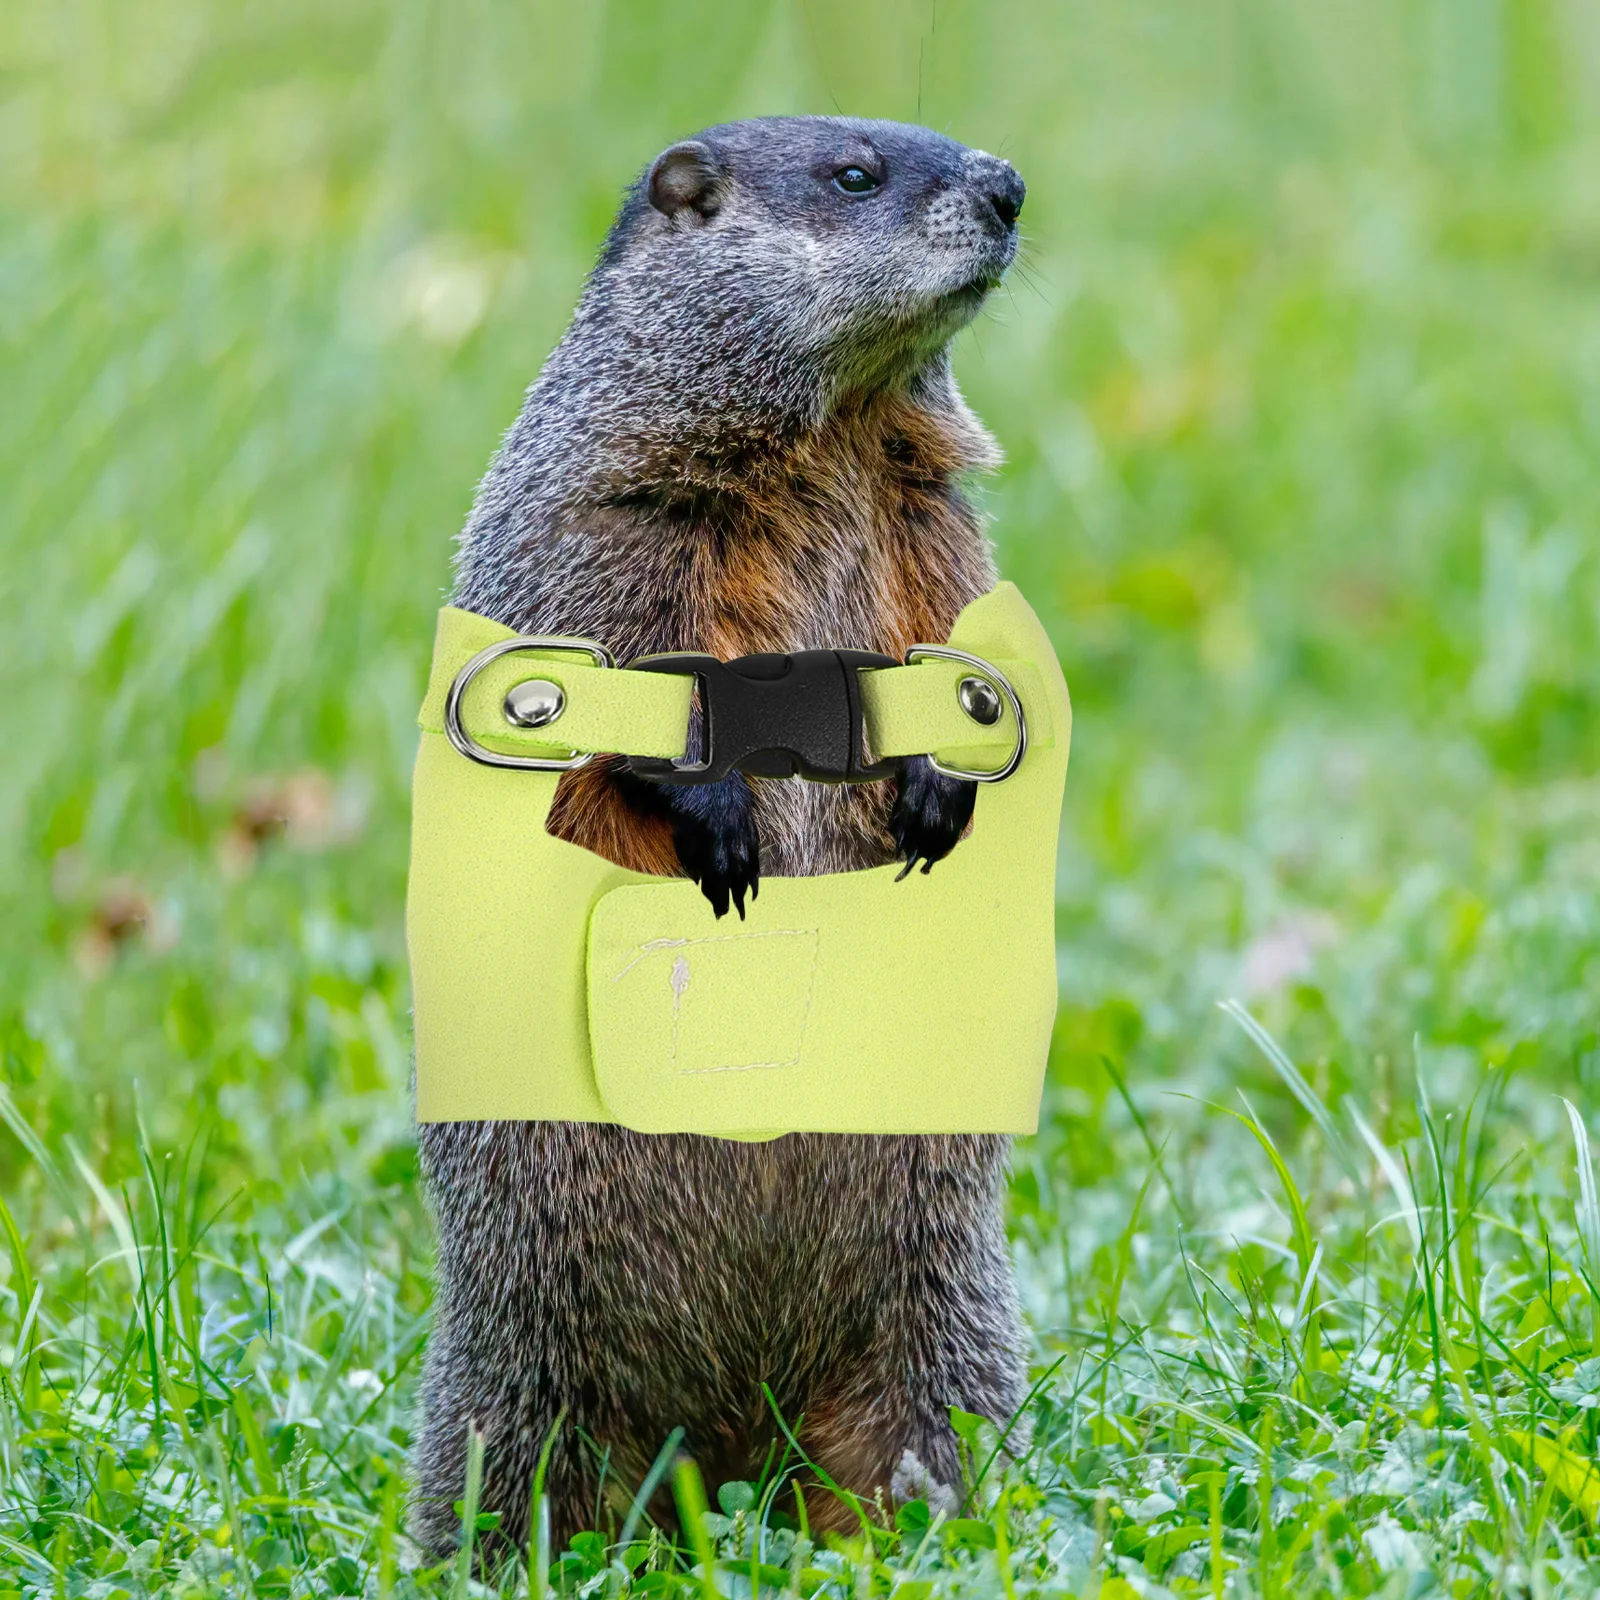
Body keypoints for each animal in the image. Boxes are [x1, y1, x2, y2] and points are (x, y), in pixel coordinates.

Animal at [413, 117, 1031, 1561]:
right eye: (855, 175)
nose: (1013, 188)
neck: (840, 429)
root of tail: (727, 1442)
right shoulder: (619, 495)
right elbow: (617, 636)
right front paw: (720, 830)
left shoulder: (928, 504)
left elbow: (953, 622)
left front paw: (938, 788)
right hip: (516, 1372)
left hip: (945, 1328)